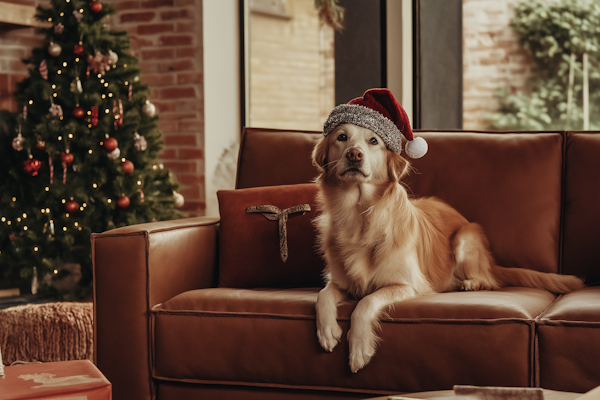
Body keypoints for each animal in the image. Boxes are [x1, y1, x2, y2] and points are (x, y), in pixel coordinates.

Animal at [312, 122, 584, 376]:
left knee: (488, 280)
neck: (360, 218)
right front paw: (327, 332)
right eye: (342, 137)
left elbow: (367, 301)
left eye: (373, 141)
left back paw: (471, 283)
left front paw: (358, 349)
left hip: (465, 237)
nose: (354, 154)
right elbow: (323, 295)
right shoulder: (341, 281)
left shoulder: (409, 285)